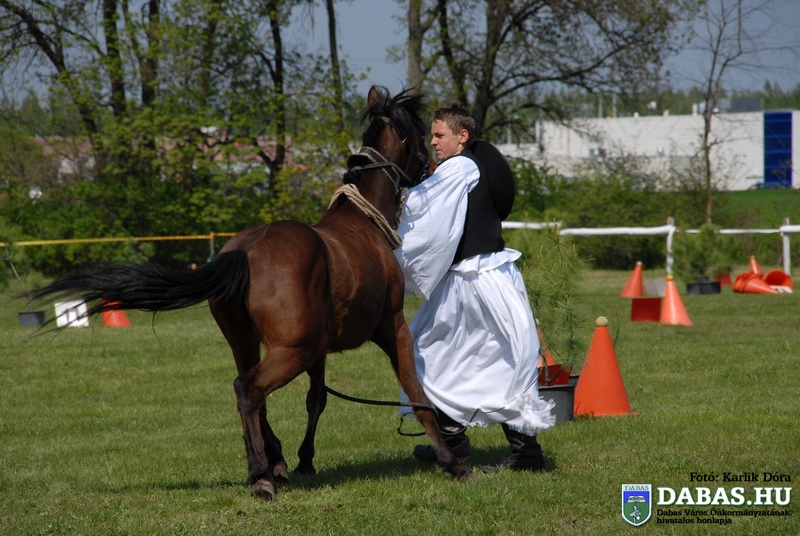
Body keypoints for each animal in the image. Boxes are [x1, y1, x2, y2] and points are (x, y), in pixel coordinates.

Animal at [30, 86, 474, 500]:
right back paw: (262, 471)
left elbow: (316, 398)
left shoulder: (320, 350)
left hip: (252, 342)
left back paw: (271, 459)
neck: (362, 223)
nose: (432, 161)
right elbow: (416, 392)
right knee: (248, 390)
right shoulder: (392, 326)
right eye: (420, 131)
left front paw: (304, 458)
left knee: (249, 388)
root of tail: (243, 252)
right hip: (292, 349)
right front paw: (450, 461)